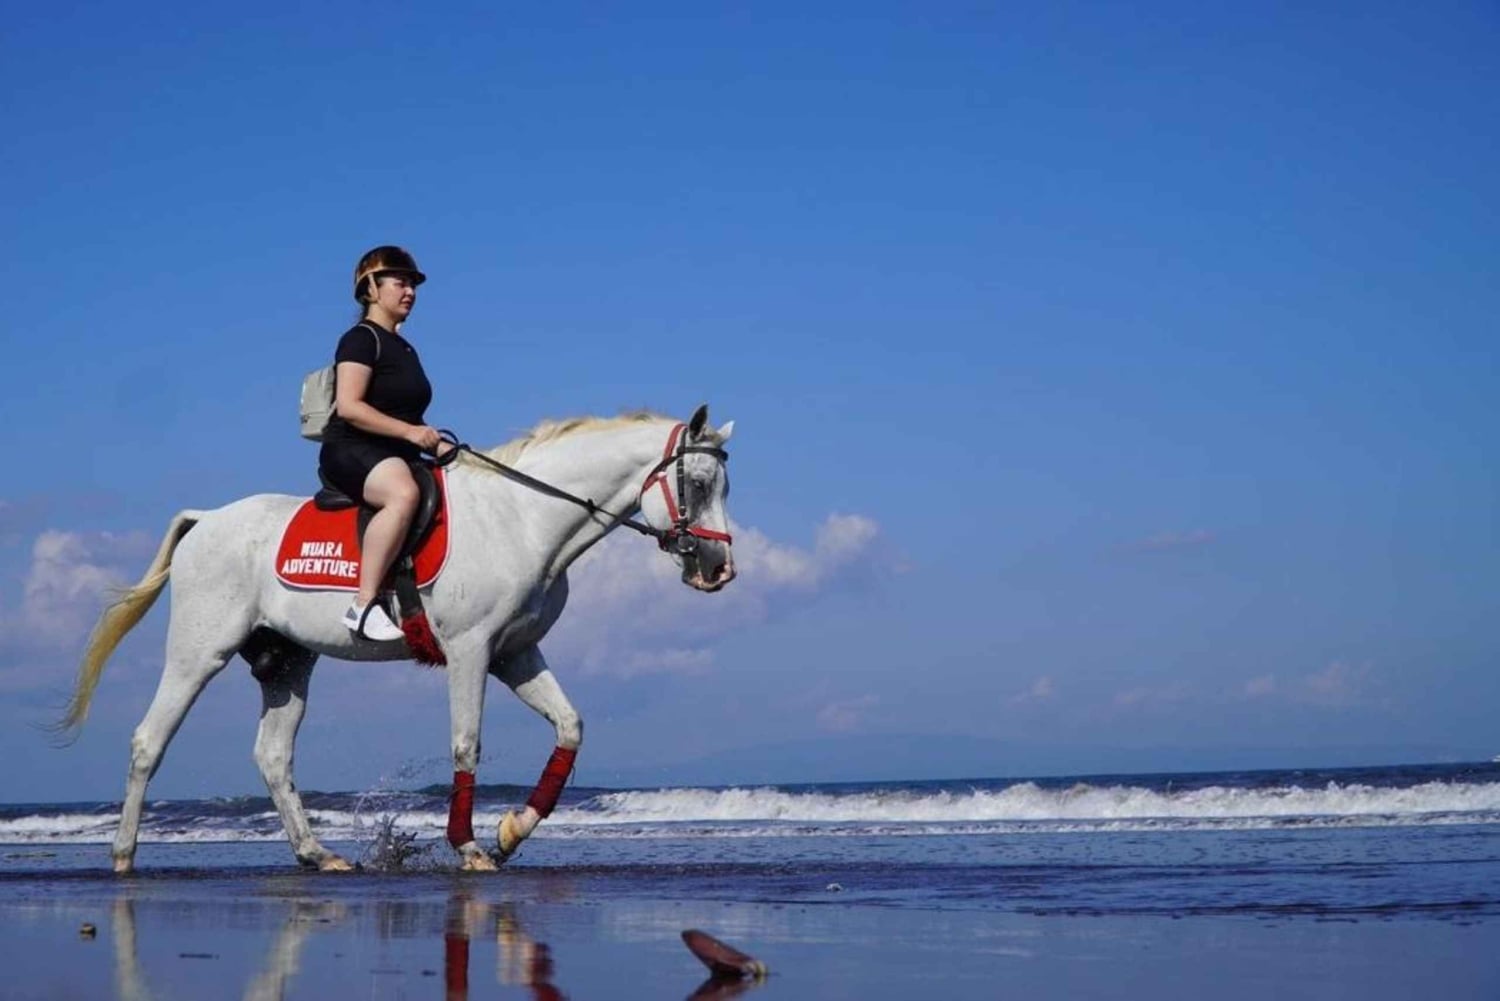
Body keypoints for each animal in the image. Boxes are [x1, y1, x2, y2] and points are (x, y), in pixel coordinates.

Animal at [57, 405, 736, 872]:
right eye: (701, 484)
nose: (719, 570)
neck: (523, 521)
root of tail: (206, 519)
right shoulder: (470, 650)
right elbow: (467, 744)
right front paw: (469, 847)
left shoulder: (515, 653)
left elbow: (570, 727)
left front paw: (511, 831)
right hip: (199, 653)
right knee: (149, 740)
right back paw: (123, 856)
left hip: (286, 664)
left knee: (273, 755)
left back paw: (316, 854)